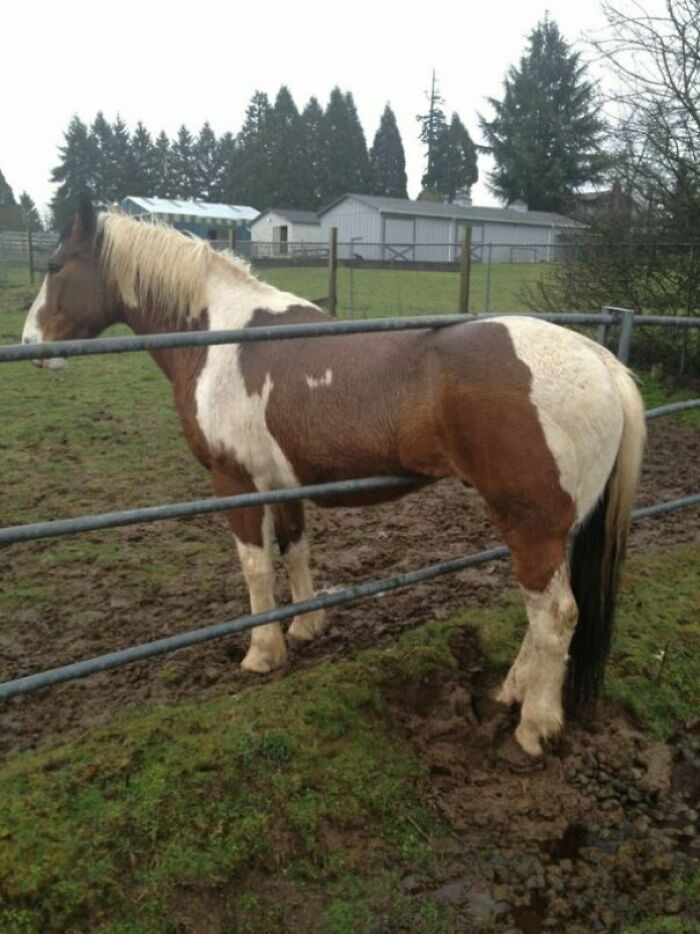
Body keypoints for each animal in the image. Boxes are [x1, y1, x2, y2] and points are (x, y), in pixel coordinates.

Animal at [21, 195, 646, 757]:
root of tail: (601, 362)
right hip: (552, 529)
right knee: (541, 616)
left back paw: (535, 727)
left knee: (555, 615)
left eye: (55, 266)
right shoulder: (284, 482)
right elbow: (295, 549)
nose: (30, 345)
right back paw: (512, 691)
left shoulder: (234, 483)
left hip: (531, 524)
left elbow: (255, 567)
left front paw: (263, 653)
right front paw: (306, 628)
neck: (220, 336)